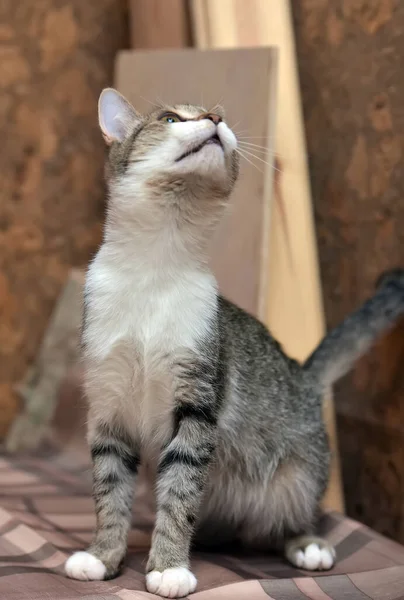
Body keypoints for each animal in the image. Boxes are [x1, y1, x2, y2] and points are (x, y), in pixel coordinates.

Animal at [64, 86, 404, 596]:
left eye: (217, 115)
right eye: (169, 118)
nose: (215, 118)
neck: (155, 271)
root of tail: (302, 376)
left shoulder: (198, 401)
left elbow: (180, 491)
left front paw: (168, 566)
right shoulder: (107, 404)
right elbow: (109, 491)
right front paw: (103, 556)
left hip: (298, 477)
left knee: (298, 512)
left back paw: (307, 543)